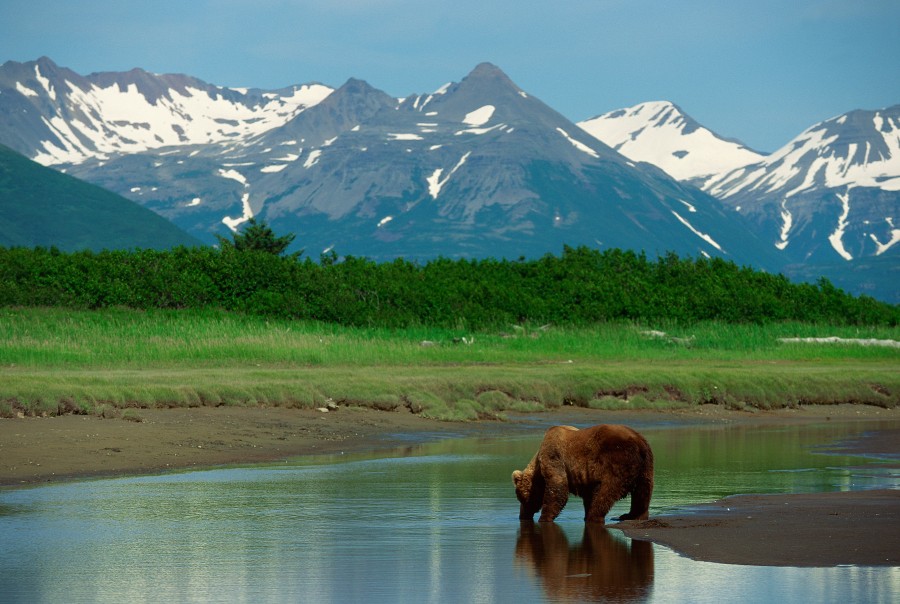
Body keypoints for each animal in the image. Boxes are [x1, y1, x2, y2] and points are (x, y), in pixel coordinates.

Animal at [512, 424, 652, 524]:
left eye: (520, 498)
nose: (522, 516)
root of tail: (638, 440)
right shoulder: (588, 476)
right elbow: (588, 494)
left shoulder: (553, 456)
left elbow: (558, 486)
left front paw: (544, 518)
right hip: (646, 466)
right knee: (643, 492)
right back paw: (633, 515)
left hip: (616, 460)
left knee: (607, 491)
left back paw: (594, 516)